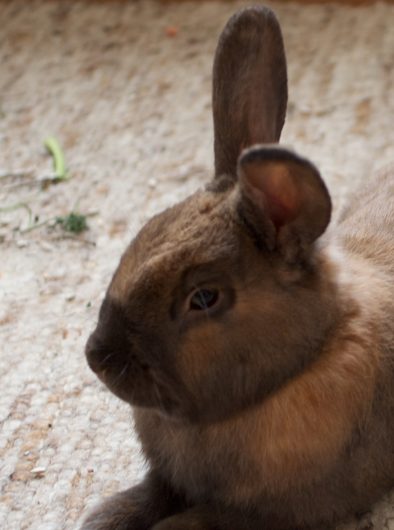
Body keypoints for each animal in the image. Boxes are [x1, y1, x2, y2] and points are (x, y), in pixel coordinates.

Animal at [81, 5, 392, 528]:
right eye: (147, 230)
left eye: (204, 297)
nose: (97, 357)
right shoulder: (168, 479)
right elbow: (149, 495)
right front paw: (106, 517)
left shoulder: (269, 513)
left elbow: (190, 522)